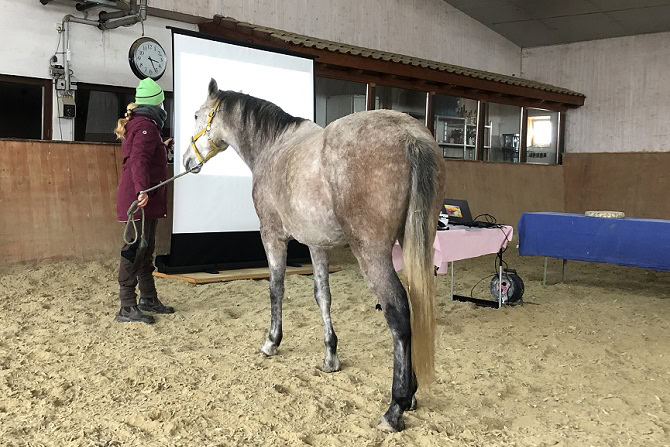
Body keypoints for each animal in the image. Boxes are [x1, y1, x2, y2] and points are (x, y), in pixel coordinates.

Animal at [184, 79, 448, 432]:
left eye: (197, 115)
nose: (187, 160)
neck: (274, 147)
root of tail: (410, 136)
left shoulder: (271, 235)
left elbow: (276, 288)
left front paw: (271, 342)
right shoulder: (316, 244)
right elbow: (323, 295)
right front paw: (330, 356)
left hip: (372, 252)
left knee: (398, 312)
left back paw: (395, 407)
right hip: (415, 242)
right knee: (416, 307)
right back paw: (412, 395)